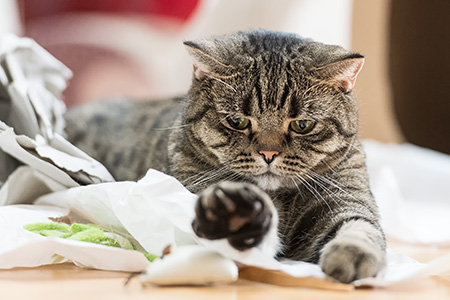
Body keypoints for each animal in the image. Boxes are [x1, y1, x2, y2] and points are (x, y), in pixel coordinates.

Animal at [64, 29, 386, 282]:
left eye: (302, 125)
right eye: (237, 121)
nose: (268, 153)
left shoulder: (345, 199)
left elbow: (360, 228)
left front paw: (353, 254)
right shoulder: (191, 188)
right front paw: (237, 217)